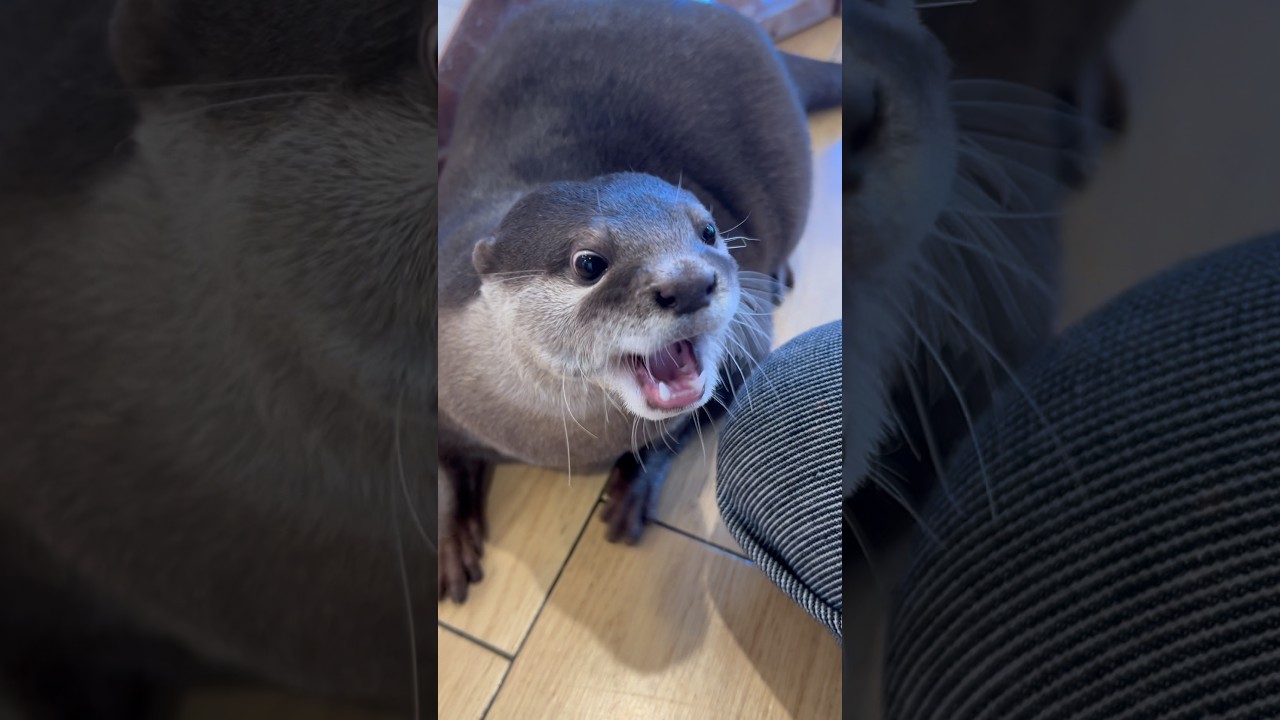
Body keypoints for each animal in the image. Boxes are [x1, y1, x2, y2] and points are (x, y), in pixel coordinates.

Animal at [437, 0, 841, 602]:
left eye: (707, 231)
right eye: (588, 263)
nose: (691, 282)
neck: (557, 442)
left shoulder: (744, 352)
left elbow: (686, 424)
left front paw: (631, 487)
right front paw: (450, 540)